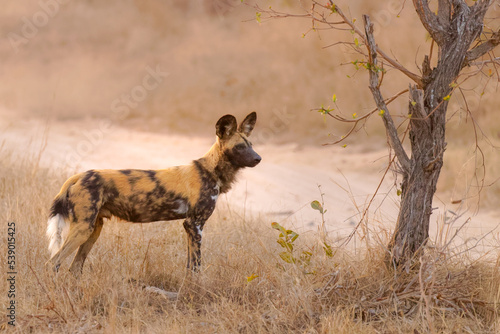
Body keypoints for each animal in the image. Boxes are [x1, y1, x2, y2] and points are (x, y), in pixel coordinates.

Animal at [46, 112, 262, 274]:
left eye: (251, 146)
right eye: (239, 147)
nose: (258, 158)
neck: (210, 171)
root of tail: (79, 176)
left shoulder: (189, 226)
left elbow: (189, 266)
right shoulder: (195, 224)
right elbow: (196, 267)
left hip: (93, 230)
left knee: (74, 268)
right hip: (83, 229)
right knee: (53, 262)